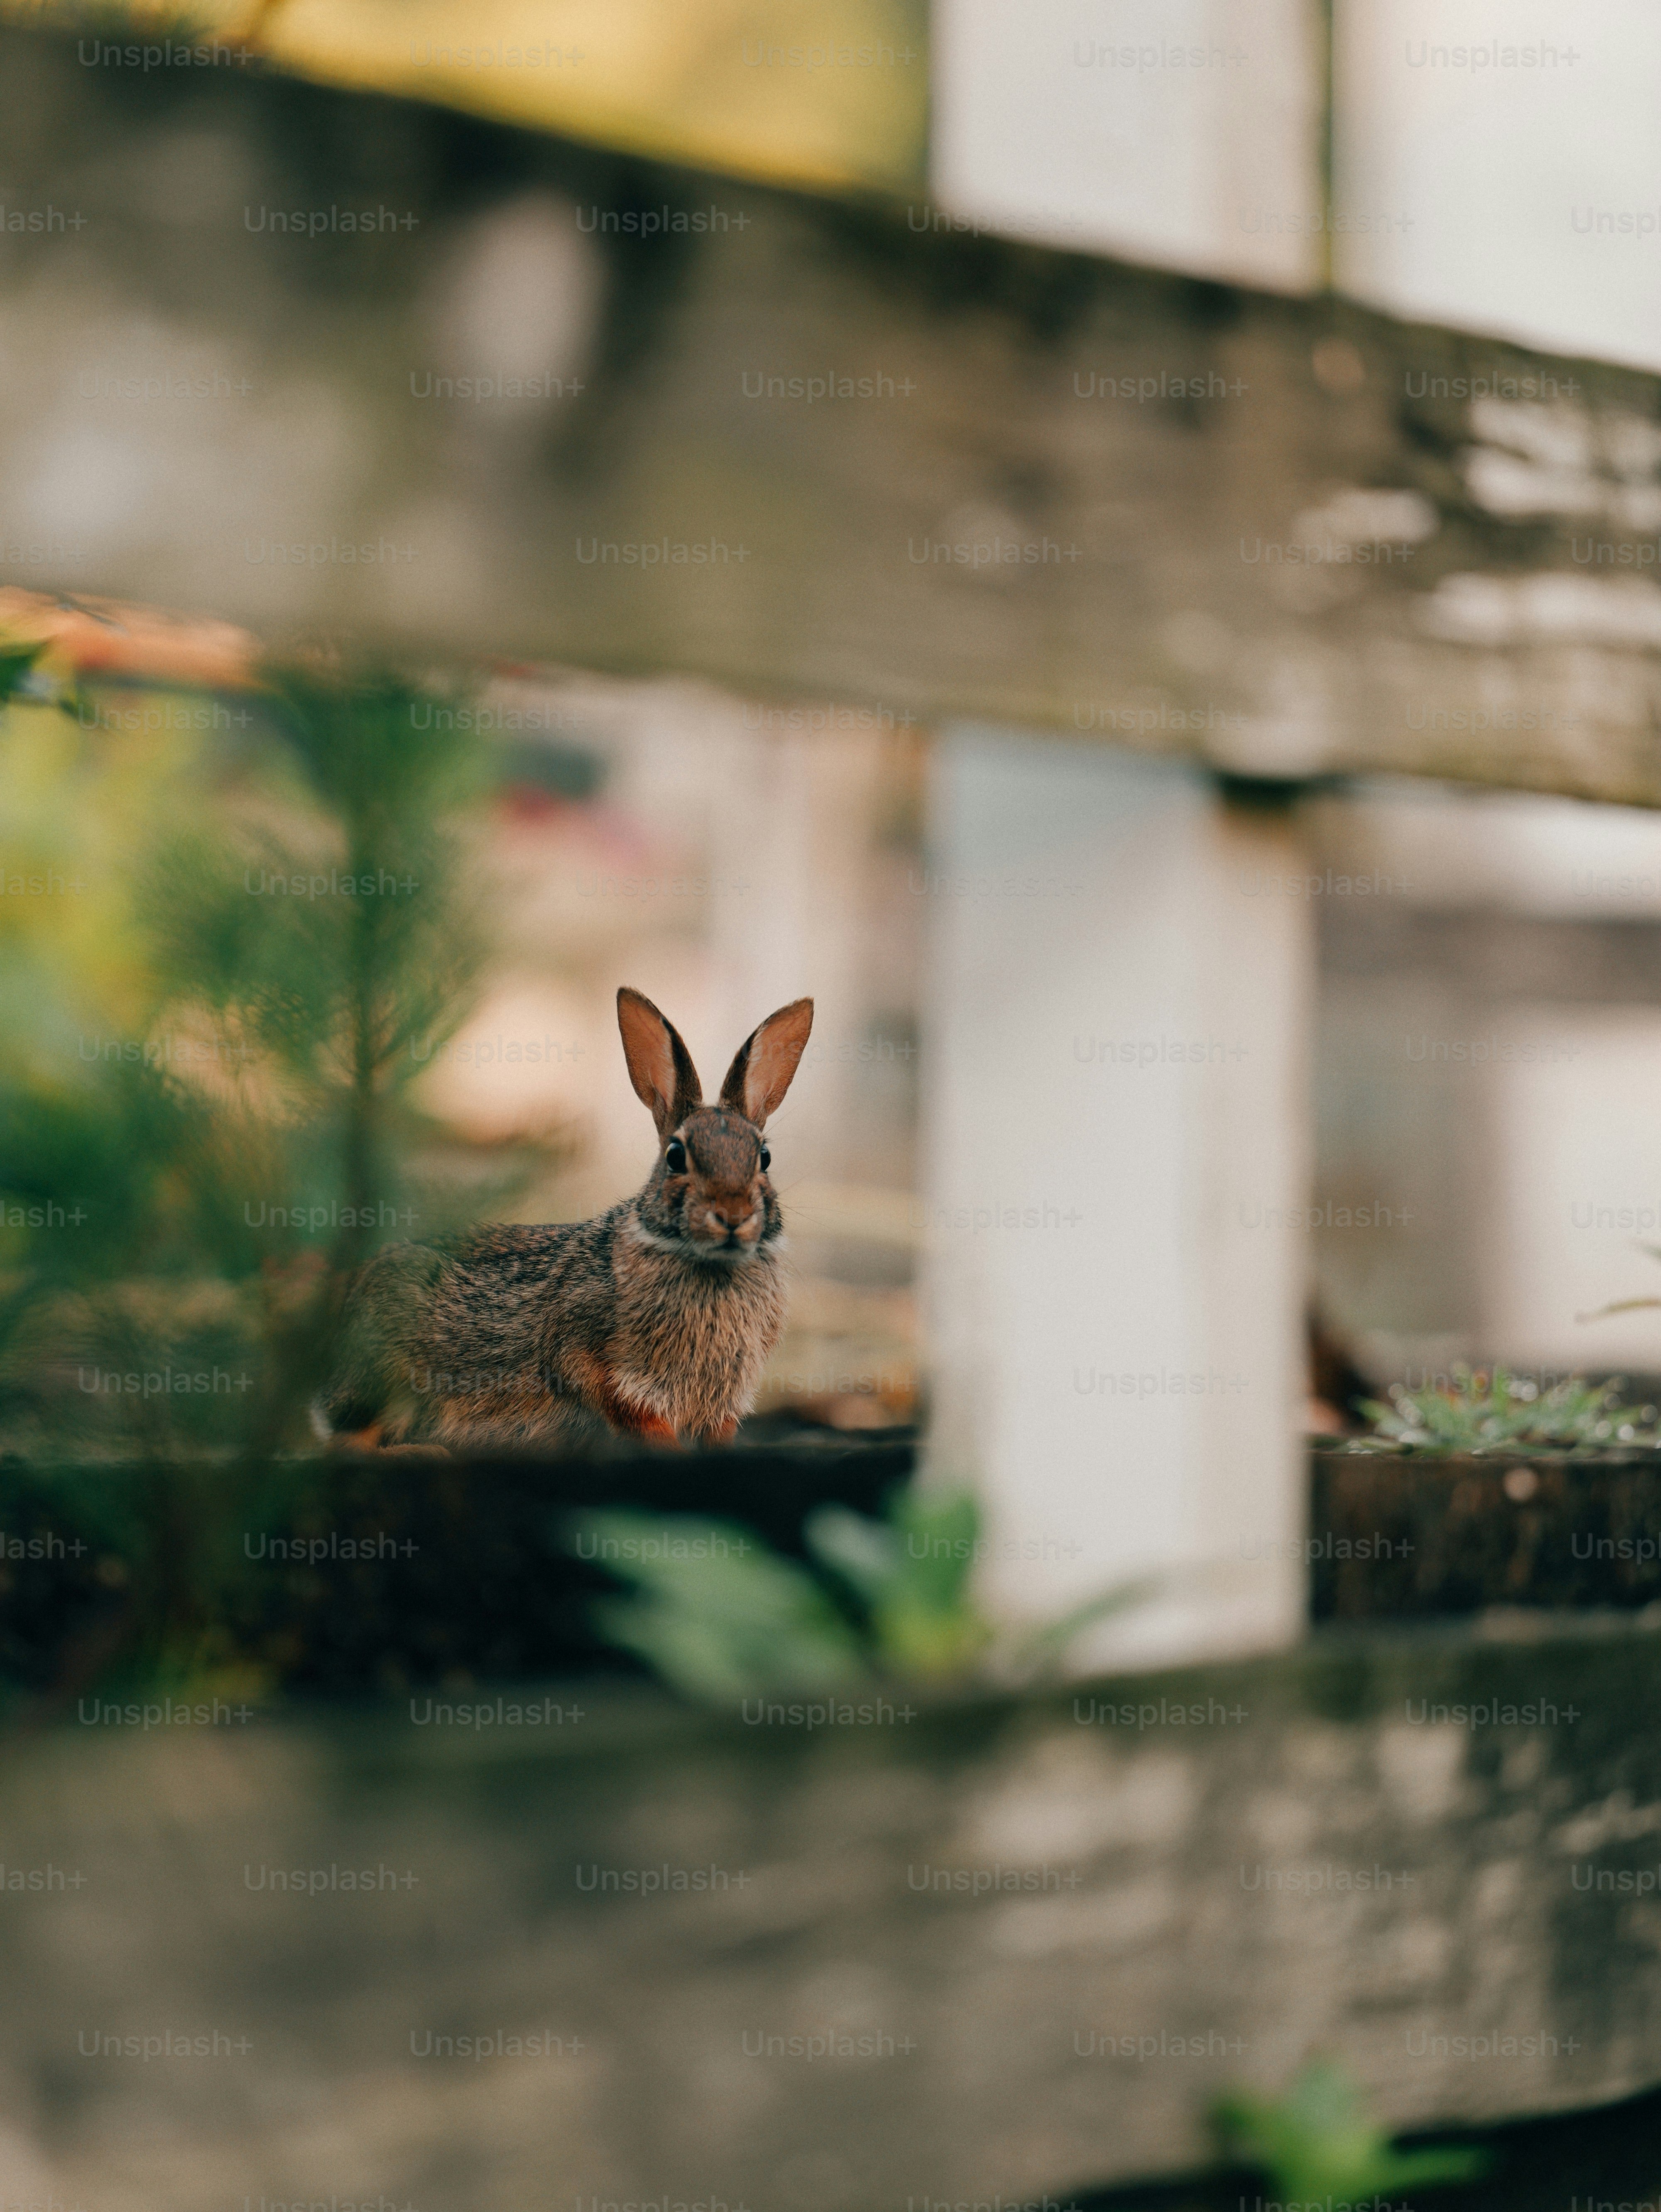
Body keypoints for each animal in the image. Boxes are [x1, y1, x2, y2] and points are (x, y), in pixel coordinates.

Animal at [314, 986, 814, 1452]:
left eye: (764, 1158)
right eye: (676, 1157)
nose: (733, 1215)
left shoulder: (722, 1402)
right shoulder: (587, 1355)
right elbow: (626, 1407)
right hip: (388, 1371)